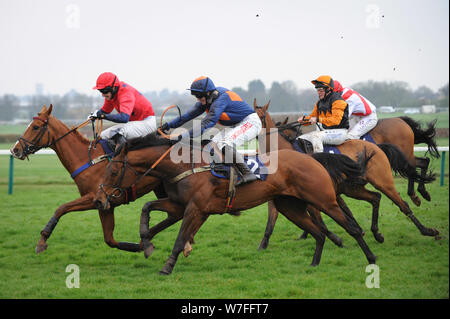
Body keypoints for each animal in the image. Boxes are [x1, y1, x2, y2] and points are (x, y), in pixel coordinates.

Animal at [9, 105, 166, 255]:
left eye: (35, 127)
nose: (15, 150)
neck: (88, 159)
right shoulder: (104, 205)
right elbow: (110, 240)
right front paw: (139, 246)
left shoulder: (95, 198)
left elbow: (61, 208)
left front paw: (42, 240)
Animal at [96, 132, 380, 276]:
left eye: (113, 171)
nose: (100, 199)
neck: (186, 166)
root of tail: (311, 158)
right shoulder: (179, 205)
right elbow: (147, 209)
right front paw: (146, 243)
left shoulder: (195, 208)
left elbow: (180, 238)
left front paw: (167, 266)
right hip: (289, 206)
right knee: (318, 232)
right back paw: (313, 265)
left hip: (323, 199)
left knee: (351, 228)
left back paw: (371, 257)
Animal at [253, 100, 440, 250]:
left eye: (259, 117)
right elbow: (272, 219)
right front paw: (263, 244)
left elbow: (322, 220)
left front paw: (338, 237)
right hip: (355, 187)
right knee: (379, 195)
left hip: (385, 177)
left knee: (404, 199)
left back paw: (425, 222)